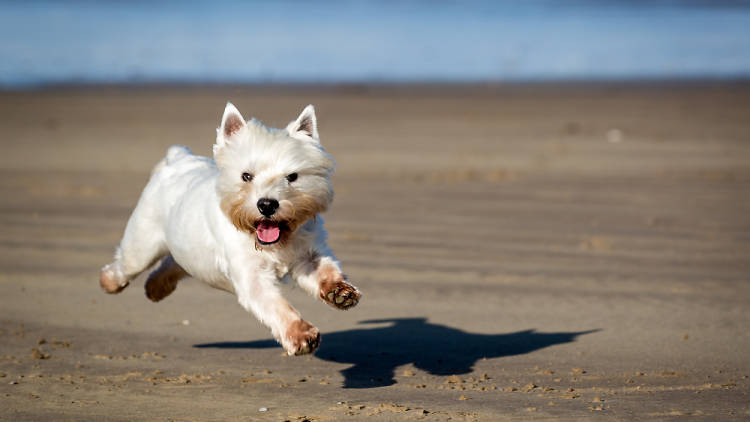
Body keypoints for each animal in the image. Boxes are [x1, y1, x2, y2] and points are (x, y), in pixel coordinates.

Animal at [99, 103, 362, 356]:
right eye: (246, 176)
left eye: (292, 177)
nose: (267, 204)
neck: (274, 243)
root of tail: (178, 159)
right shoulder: (252, 277)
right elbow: (277, 306)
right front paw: (300, 335)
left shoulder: (308, 256)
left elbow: (325, 270)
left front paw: (339, 292)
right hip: (142, 244)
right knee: (126, 266)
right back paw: (109, 282)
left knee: (173, 263)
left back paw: (156, 288)